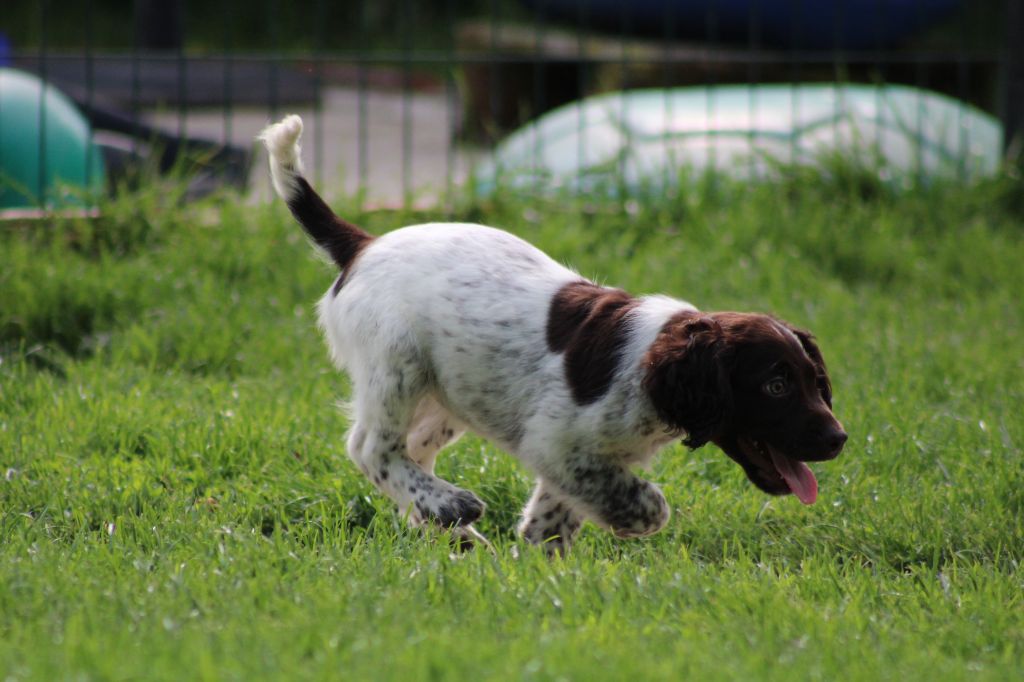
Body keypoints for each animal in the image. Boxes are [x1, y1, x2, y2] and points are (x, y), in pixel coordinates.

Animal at [260, 115, 847, 555]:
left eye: (816, 383)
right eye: (775, 386)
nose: (839, 438)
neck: (650, 373)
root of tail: (363, 244)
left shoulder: (568, 456)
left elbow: (555, 515)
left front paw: (540, 569)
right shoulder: (557, 441)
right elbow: (644, 503)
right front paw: (630, 522)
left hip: (450, 393)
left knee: (412, 450)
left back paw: (451, 532)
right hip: (397, 364)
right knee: (371, 448)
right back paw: (451, 508)